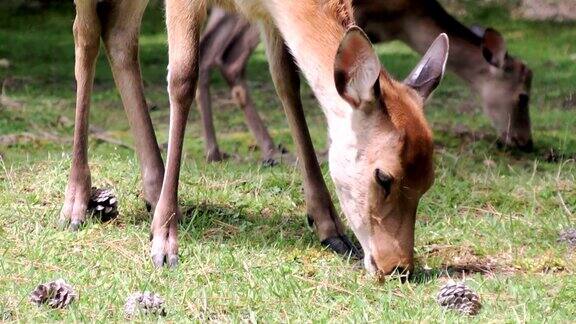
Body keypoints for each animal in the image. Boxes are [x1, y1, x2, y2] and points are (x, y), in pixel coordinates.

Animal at [65, 0, 448, 278]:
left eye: (430, 181)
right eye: (383, 176)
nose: (398, 267)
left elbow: (288, 83)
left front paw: (331, 230)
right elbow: (183, 78)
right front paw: (164, 244)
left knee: (119, 33)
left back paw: (153, 193)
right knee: (85, 34)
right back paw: (77, 204)